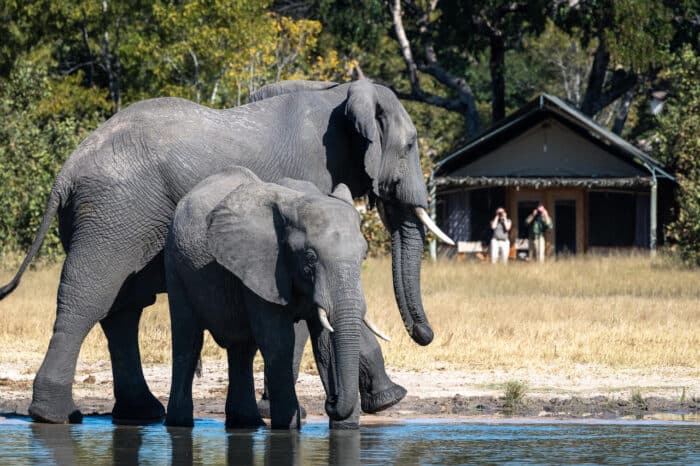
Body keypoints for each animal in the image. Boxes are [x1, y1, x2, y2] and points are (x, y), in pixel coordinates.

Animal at [164, 166, 374, 428]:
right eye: (310, 257)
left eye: (363, 255)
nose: (331, 401)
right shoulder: (261, 266)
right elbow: (278, 341)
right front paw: (288, 427)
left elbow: (325, 342)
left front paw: (346, 429)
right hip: (176, 265)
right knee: (188, 340)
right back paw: (179, 423)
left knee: (242, 349)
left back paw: (246, 423)